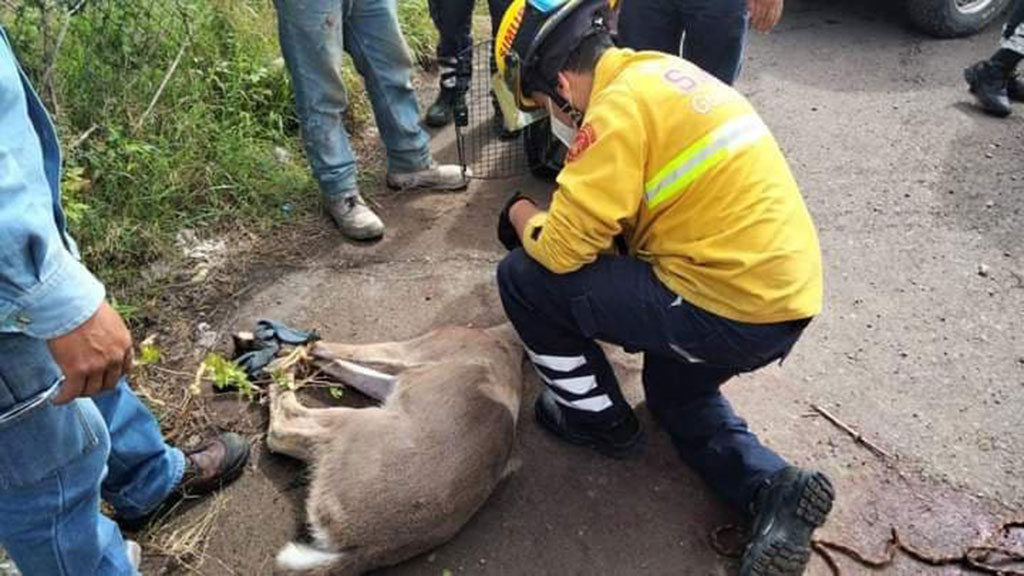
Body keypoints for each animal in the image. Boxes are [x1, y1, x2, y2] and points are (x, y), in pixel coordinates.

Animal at [266, 325, 520, 569]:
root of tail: (370, 548)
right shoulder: (397, 377)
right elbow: (345, 365)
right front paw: (300, 355)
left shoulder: (407, 351)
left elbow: (339, 349)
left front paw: (297, 349)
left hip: (353, 424)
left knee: (281, 429)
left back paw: (280, 372)